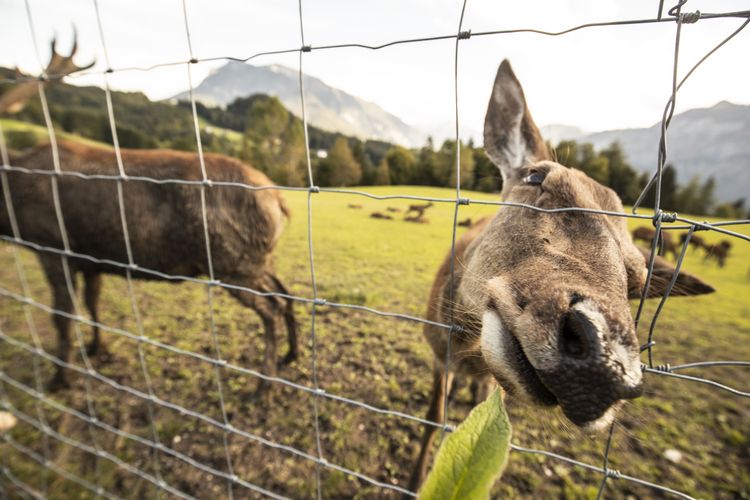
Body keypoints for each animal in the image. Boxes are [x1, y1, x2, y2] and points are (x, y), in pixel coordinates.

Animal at [0, 37, 300, 392]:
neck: (12, 198)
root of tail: (279, 200)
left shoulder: (52, 244)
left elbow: (62, 315)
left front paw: (60, 378)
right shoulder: (91, 256)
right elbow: (92, 301)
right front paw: (97, 348)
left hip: (231, 260)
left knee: (272, 307)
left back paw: (264, 383)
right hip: (255, 258)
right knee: (285, 291)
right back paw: (290, 356)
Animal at [412, 59, 716, 492]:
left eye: (638, 282)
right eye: (535, 176)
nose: (604, 366)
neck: (465, 341)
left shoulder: (491, 381)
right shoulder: (438, 352)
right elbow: (431, 419)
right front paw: (415, 477)